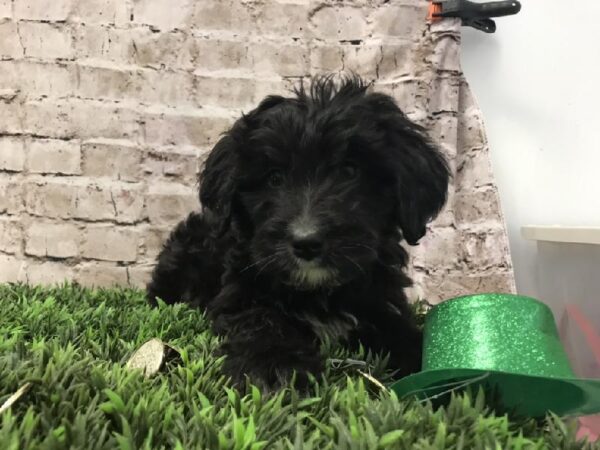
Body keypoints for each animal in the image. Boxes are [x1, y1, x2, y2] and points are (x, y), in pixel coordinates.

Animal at [149, 75, 450, 388]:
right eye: (274, 178)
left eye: (350, 171)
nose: (306, 243)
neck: (319, 292)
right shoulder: (240, 291)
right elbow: (258, 320)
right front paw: (275, 365)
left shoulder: (382, 302)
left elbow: (401, 334)